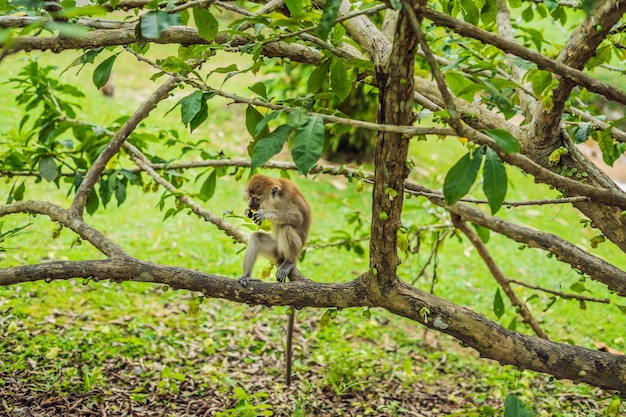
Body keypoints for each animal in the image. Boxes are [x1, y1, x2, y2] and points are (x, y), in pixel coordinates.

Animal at [236, 172, 310, 384]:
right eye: (250, 197)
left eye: (256, 198)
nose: (251, 205)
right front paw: (248, 213)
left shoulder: (285, 200)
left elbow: (296, 218)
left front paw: (266, 214)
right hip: (275, 251)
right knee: (257, 238)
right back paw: (247, 278)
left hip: (289, 250)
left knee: (286, 227)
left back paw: (289, 263)